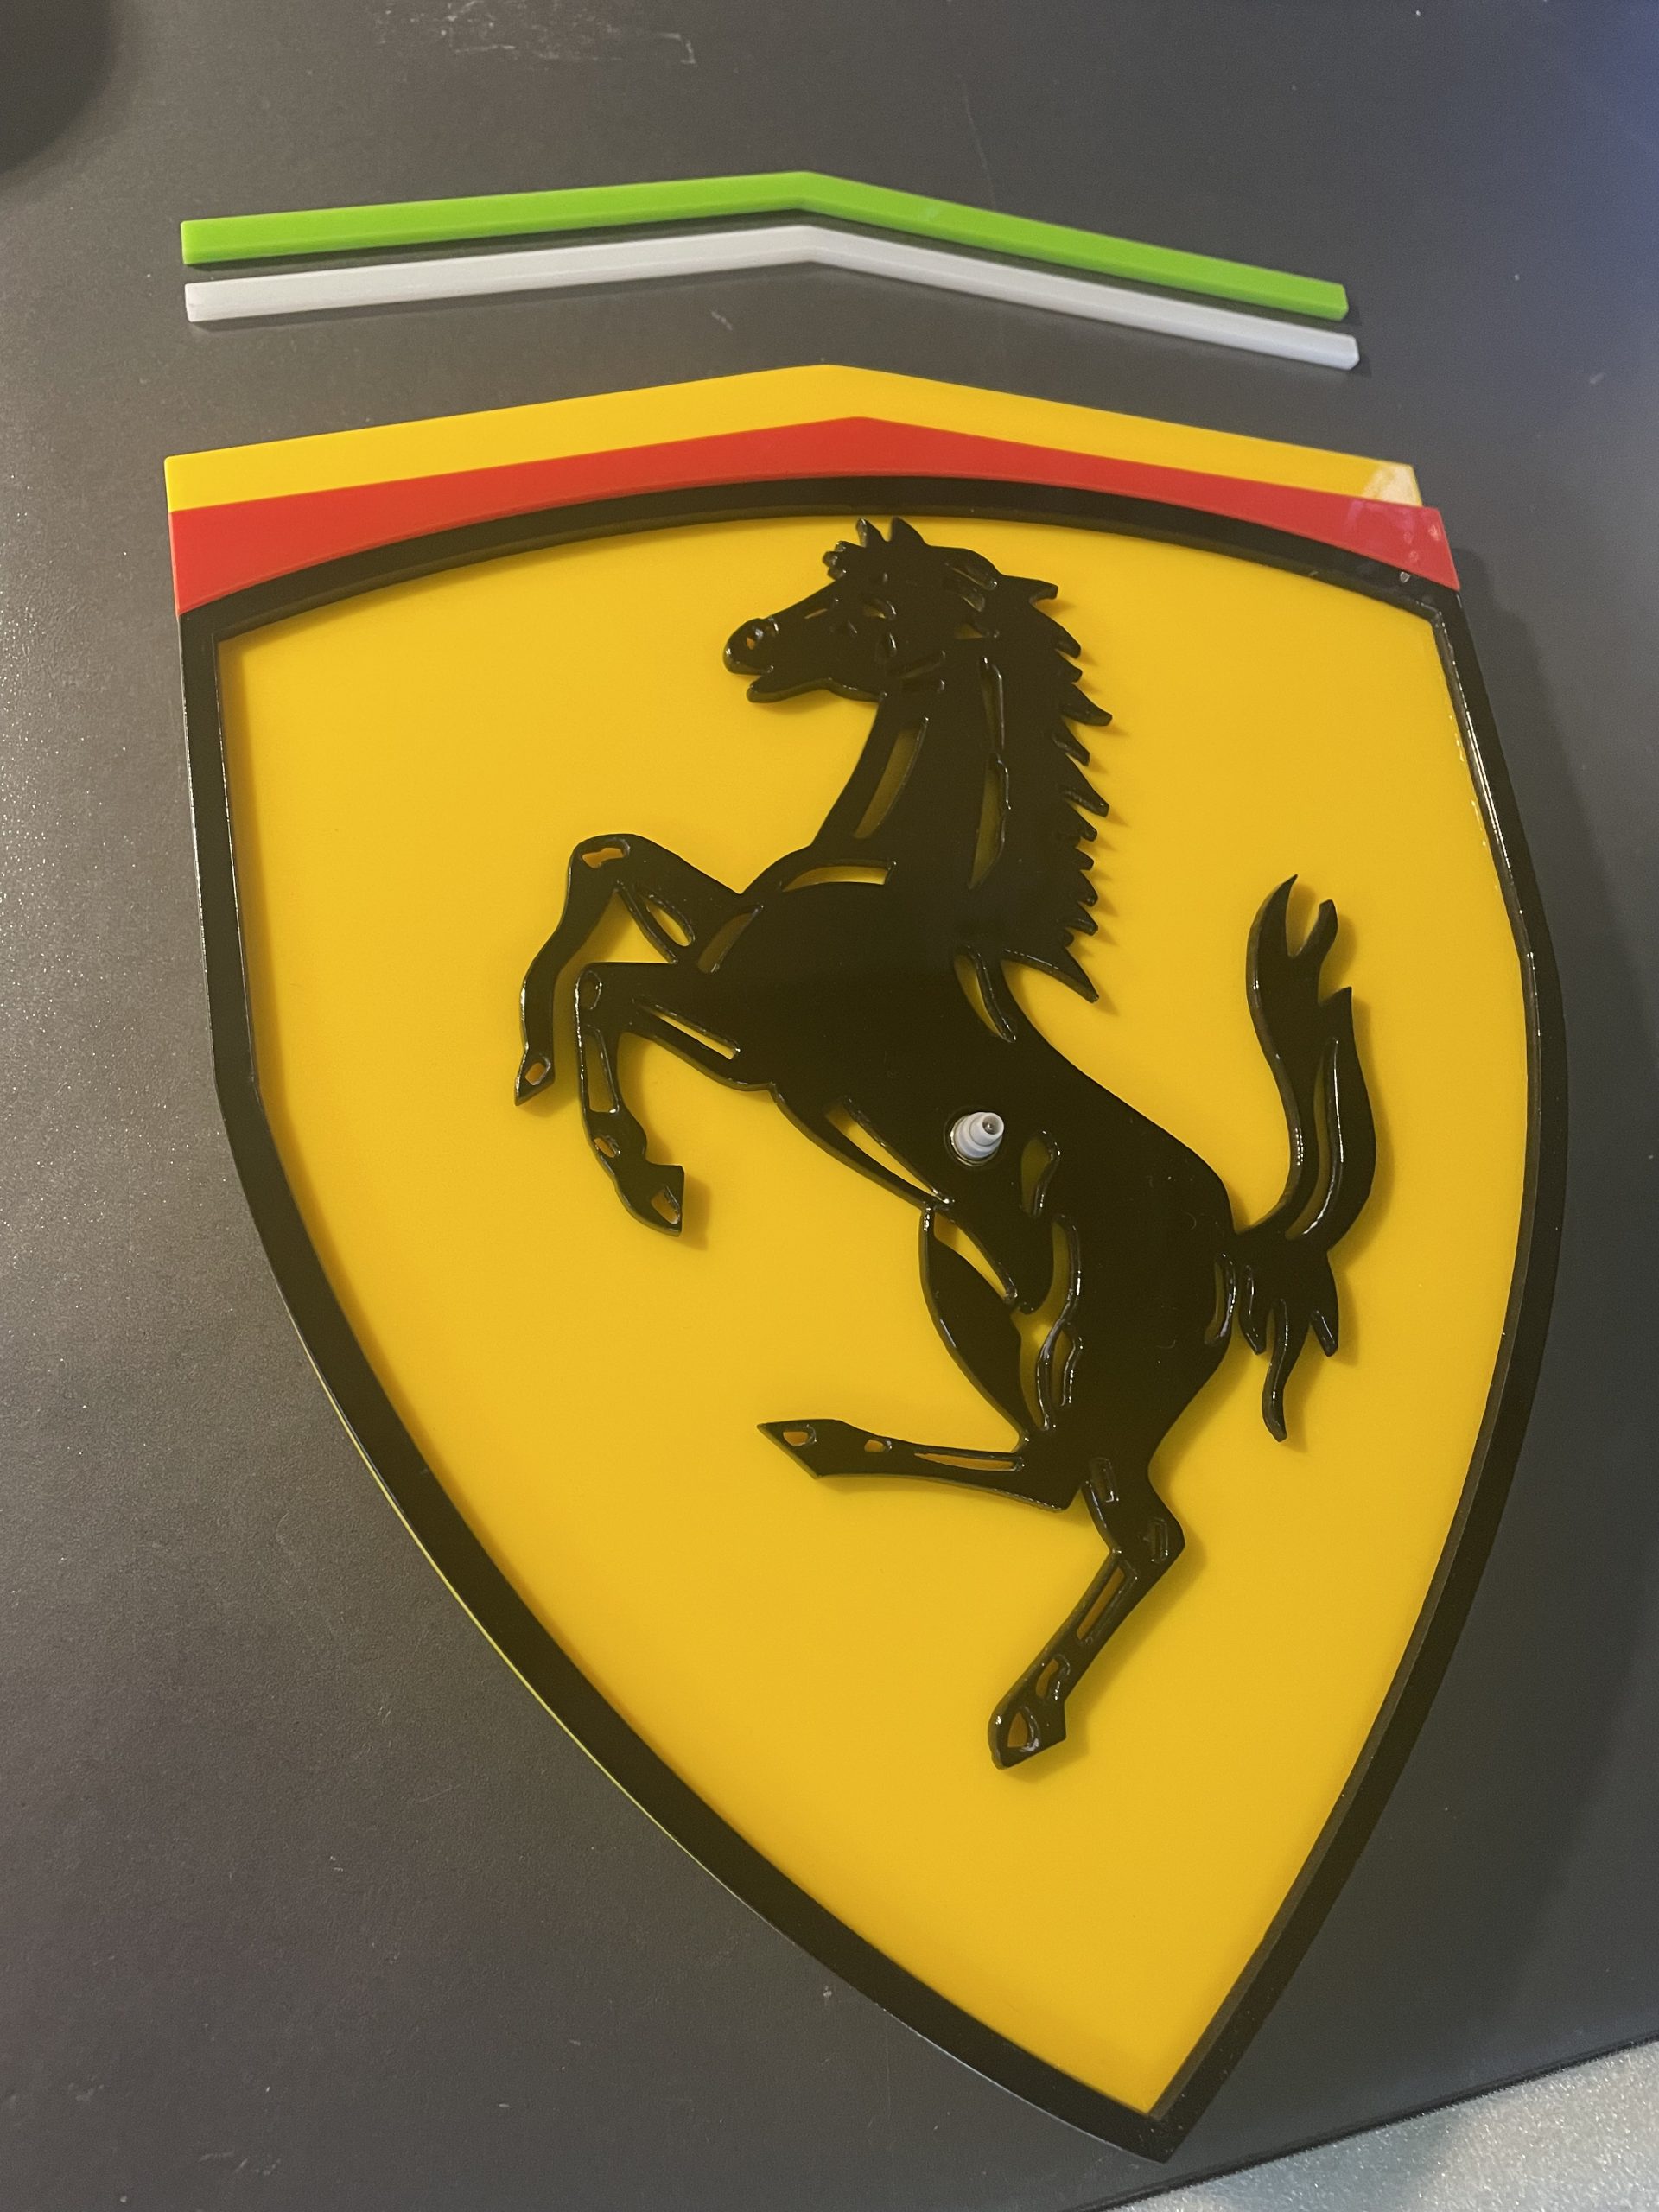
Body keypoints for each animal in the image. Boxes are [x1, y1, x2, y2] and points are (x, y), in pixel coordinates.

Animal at [516, 517, 1376, 1767]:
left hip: (1085, 1347)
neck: (892, 882)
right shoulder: (724, 981)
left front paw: (646, 1173)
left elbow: (610, 987)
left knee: (1133, 1523)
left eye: (884, 606)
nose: (748, 641)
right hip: (962, 1272)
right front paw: (528, 1058)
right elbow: (606, 858)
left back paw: (1023, 1711)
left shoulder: (749, 1039)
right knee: (1050, 1475)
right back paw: (828, 1443)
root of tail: (1233, 1248)